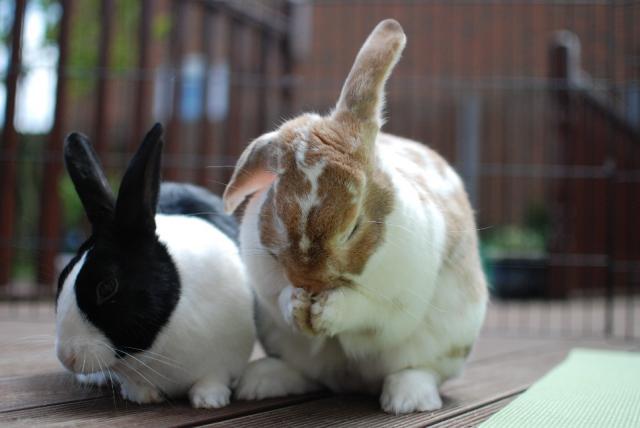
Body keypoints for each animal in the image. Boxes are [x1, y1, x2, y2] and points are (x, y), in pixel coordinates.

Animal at [55, 123, 255, 408]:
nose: (67, 357)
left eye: (106, 287)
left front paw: (209, 400)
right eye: (62, 277)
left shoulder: (225, 360)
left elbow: (213, 378)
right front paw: (143, 396)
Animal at [222, 19, 488, 414]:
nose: (308, 279)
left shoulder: (394, 304)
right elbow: (279, 296)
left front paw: (327, 311)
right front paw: (296, 303)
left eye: (353, 229)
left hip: (447, 343)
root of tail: (351, 383)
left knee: (418, 370)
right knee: (308, 374)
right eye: (277, 217)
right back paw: (260, 382)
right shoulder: (266, 287)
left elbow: (365, 310)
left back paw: (409, 400)